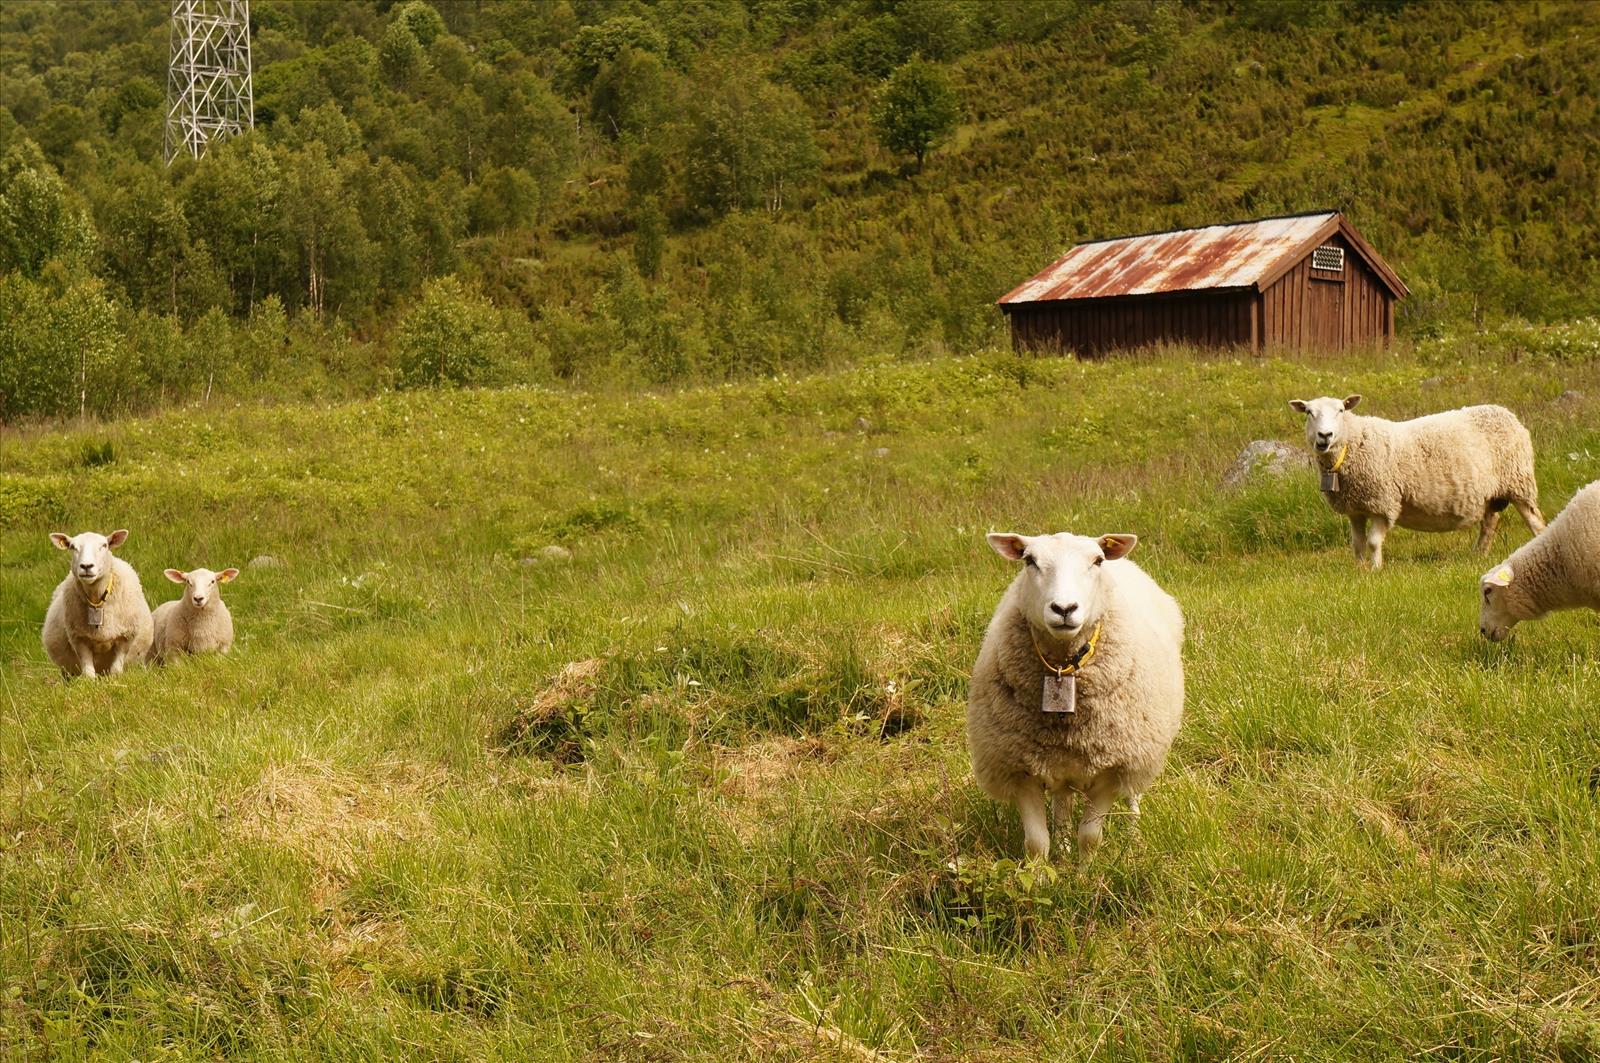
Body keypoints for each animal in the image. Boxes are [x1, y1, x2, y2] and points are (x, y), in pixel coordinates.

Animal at [43, 528, 154, 675]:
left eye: (104, 545)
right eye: (72, 547)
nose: (86, 566)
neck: (96, 599)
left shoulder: (125, 637)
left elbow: (116, 671)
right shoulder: (79, 639)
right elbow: (89, 674)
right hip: (67, 669)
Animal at [960, 528, 1190, 858]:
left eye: (1097, 560)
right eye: (1030, 560)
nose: (1064, 609)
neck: (1062, 667)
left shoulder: (1111, 768)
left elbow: (1090, 837)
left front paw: (1085, 871)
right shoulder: (1020, 769)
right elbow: (1036, 843)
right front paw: (1045, 870)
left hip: (1140, 746)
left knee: (1132, 793)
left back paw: (1134, 837)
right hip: (1060, 760)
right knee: (1062, 801)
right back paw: (1064, 842)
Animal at [1286, 393, 1548, 569]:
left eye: (1341, 410)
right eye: (1309, 412)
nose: (1325, 435)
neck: (1353, 444)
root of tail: (1506, 414)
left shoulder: (1383, 503)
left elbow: (1373, 542)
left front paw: (1376, 570)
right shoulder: (1356, 508)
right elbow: (1358, 543)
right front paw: (1359, 570)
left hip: (1519, 483)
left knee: (1535, 522)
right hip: (1492, 494)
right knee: (1489, 524)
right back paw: (1478, 555)